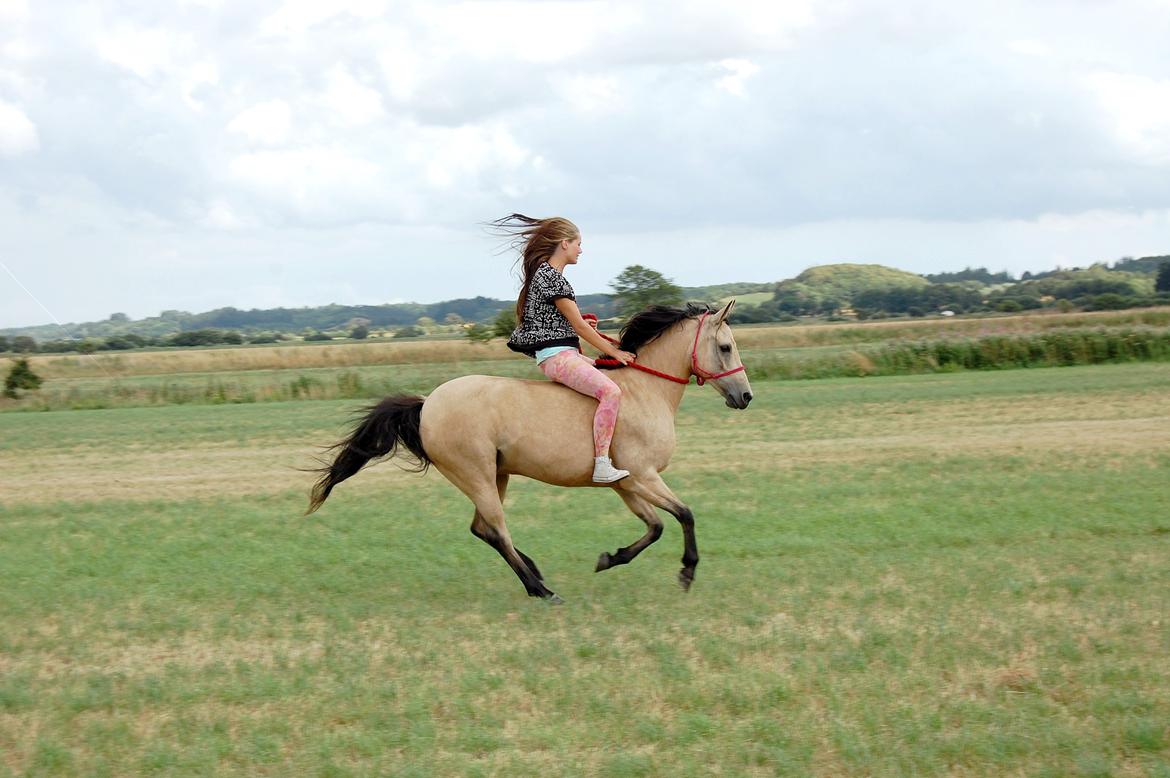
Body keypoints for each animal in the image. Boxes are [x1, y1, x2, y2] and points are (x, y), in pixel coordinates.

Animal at [306, 300, 753, 603]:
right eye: (726, 347)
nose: (746, 397)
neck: (645, 392)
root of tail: (427, 403)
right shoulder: (644, 475)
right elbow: (684, 514)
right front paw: (687, 573)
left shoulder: (626, 484)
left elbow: (655, 526)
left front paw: (609, 558)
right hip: (477, 474)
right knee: (497, 530)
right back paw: (541, 588)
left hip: (496, 475)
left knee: (482, 528)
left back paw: (536, 573)